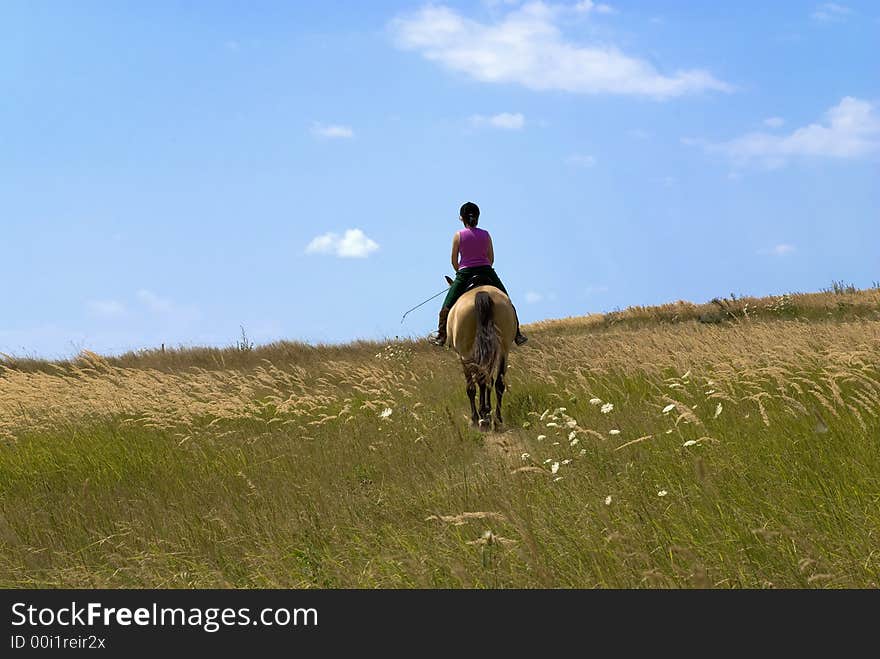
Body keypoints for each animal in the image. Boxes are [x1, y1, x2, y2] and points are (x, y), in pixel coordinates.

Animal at [446, 286, 516, 430]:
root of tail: (482, 292)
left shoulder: (462, 356)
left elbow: (473, 386)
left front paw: (478, 416)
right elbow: (490, 381)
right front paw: (487, 411)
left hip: (466, 353)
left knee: (474, 385)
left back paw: (480, 418)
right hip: (503, 349)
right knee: (497, 383)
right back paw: (496, 419)